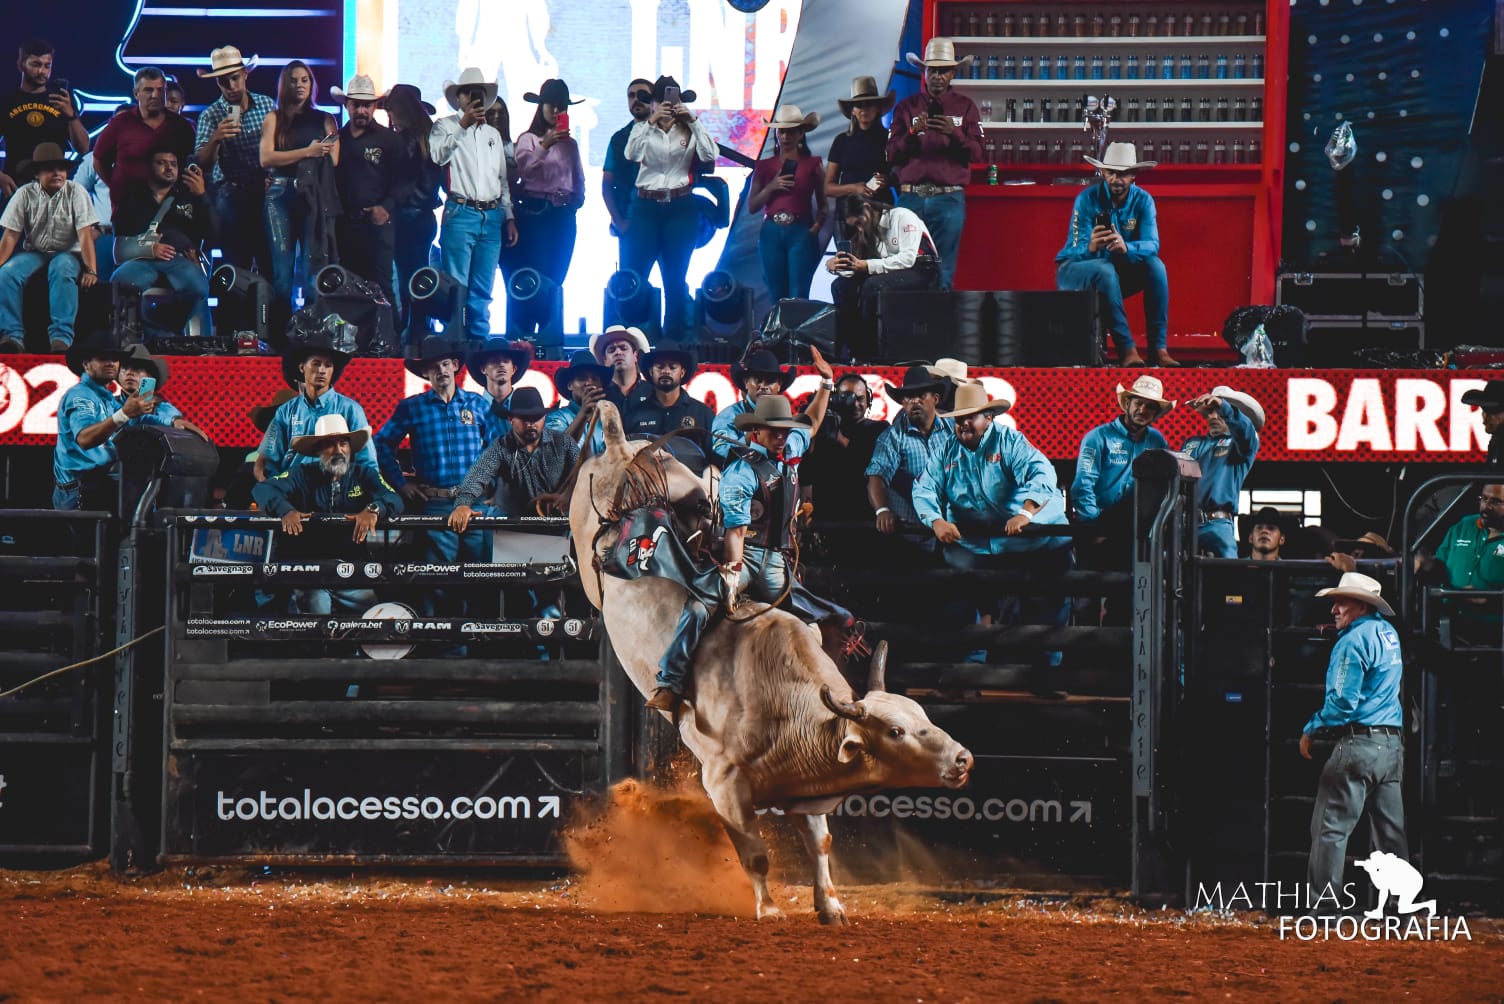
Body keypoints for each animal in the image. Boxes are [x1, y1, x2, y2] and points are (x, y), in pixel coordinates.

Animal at [559, 402, 968, 919]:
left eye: (923, 716)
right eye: (895, 732)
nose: (962, 758)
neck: (782, 705)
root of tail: (618, 448)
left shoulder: (804, 790)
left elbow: (820, 844)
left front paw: (831, 906)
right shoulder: (724, 786)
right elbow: (754, 854)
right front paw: (770, 909)